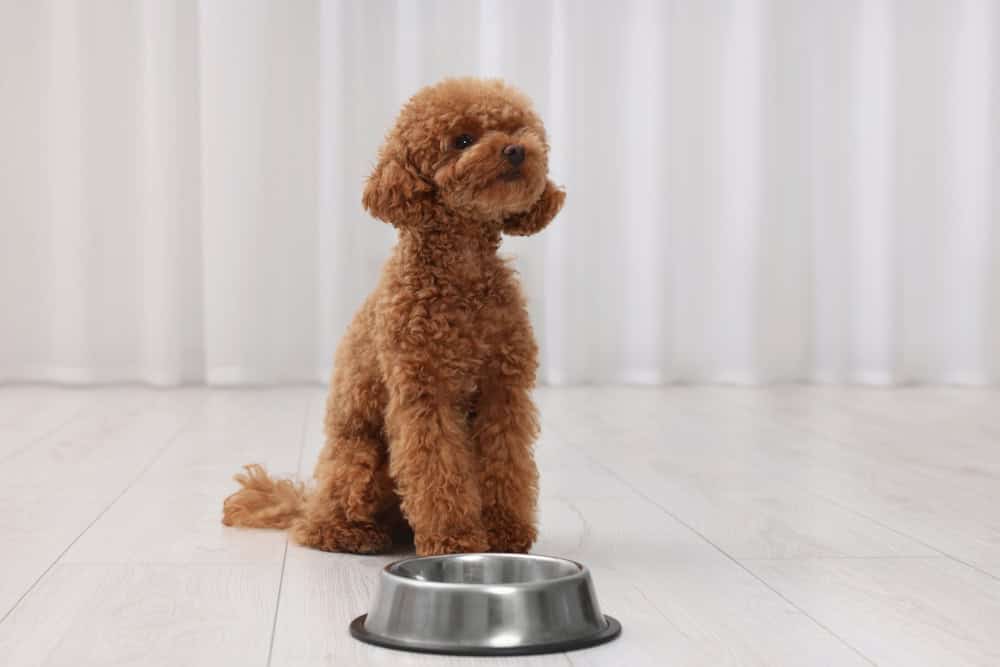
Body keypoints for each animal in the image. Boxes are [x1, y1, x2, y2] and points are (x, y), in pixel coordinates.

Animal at [224, 78, 568, 556]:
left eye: (517, 128)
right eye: (462, 140)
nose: (516, 150)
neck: (462, 274)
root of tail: (306, 502)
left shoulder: (503, 390)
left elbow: (506, 463)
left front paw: (504, 534)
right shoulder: (423, 394)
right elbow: (436, 470)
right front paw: (454, 540)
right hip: (359, 461)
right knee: (319, 527)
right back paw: (357, 534)